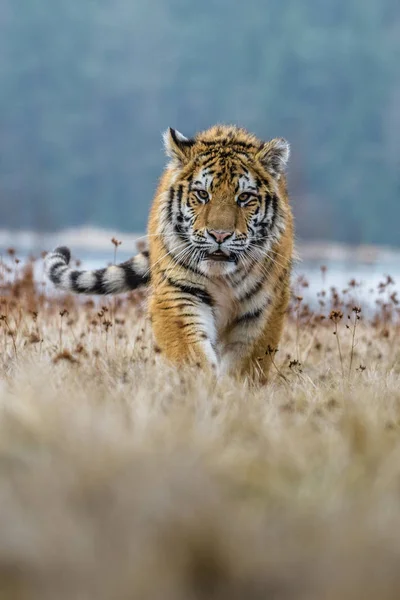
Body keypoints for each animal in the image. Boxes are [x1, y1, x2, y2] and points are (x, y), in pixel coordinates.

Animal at [45, 124, 292, 382]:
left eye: (244, 197)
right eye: (202, 194)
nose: (219, 235)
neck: (222, 276)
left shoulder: (263, 307)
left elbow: (246, 362)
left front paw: (234, 388)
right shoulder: (179, 293)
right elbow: (191, 353)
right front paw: (201, 385)